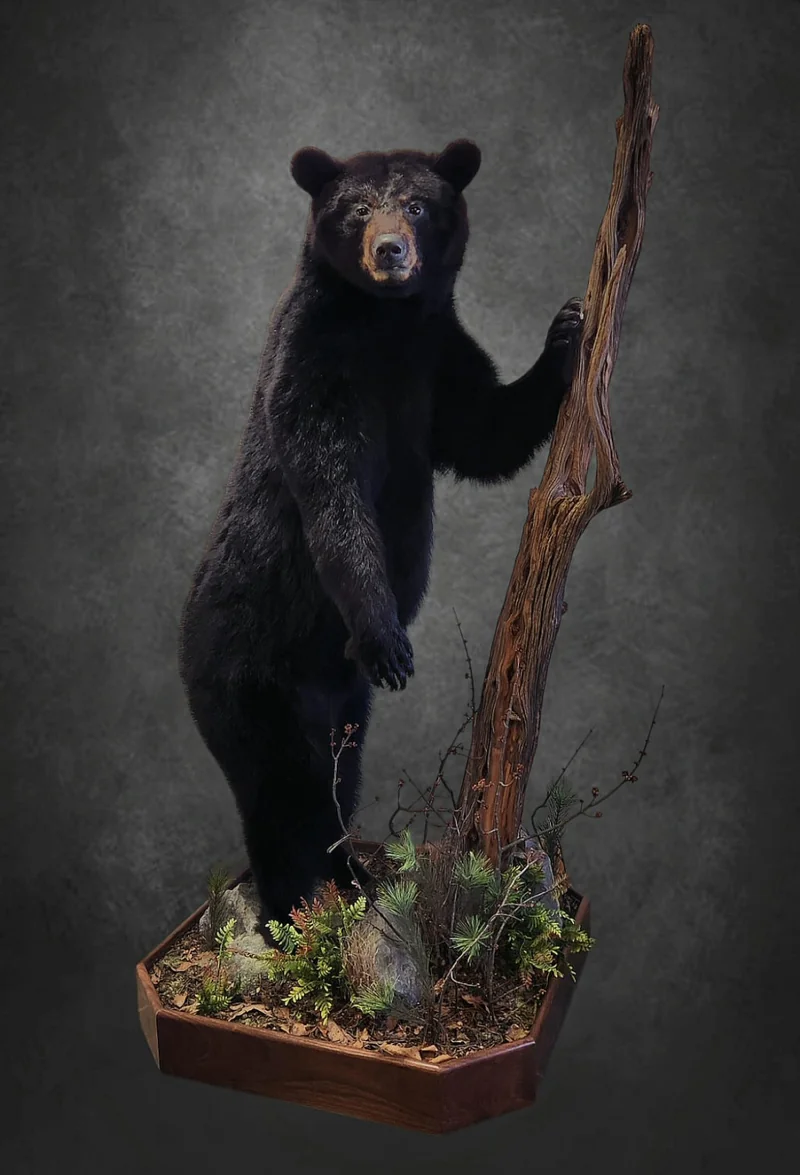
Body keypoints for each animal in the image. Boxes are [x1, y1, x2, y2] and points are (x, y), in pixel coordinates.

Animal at [178, 138, 582, 933]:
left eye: (420, 206)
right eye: (359, 209)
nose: (391, 250)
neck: (386, 324)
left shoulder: (439, 357)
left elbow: (484, 429)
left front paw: (566, 332)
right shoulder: (315, 363)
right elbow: (334, 493)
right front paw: (386, 633)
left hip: (344, 710)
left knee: (340, 784)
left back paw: (355, 875)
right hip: (249, 681)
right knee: (282, 799)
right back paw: (288, 913)